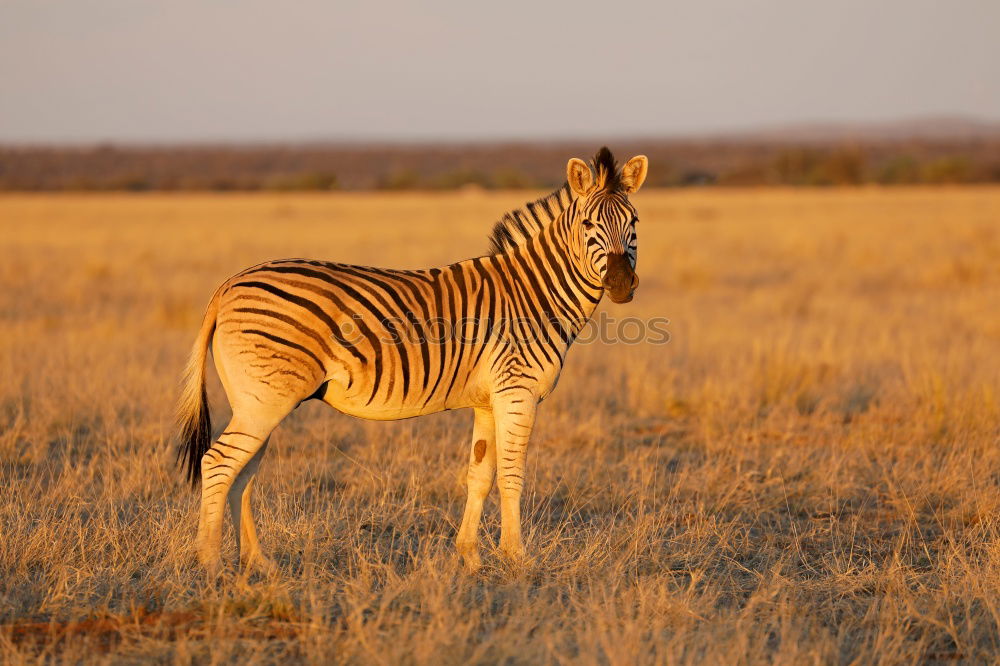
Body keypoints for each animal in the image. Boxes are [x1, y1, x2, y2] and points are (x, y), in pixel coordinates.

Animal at [178, 145, 648, 572]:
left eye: (634, 223)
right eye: (588, 224)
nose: (621, 284)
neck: (534, 292)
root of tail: (227, 285)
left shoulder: (487, 400)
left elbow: (479, 475)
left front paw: (470, 557)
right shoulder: (517, 392)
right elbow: (512, 475)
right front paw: (516, 558)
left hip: (257, 400)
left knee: (241, 473)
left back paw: (257, 563)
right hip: (266, 398)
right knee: (218, 463)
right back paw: (210, 564)